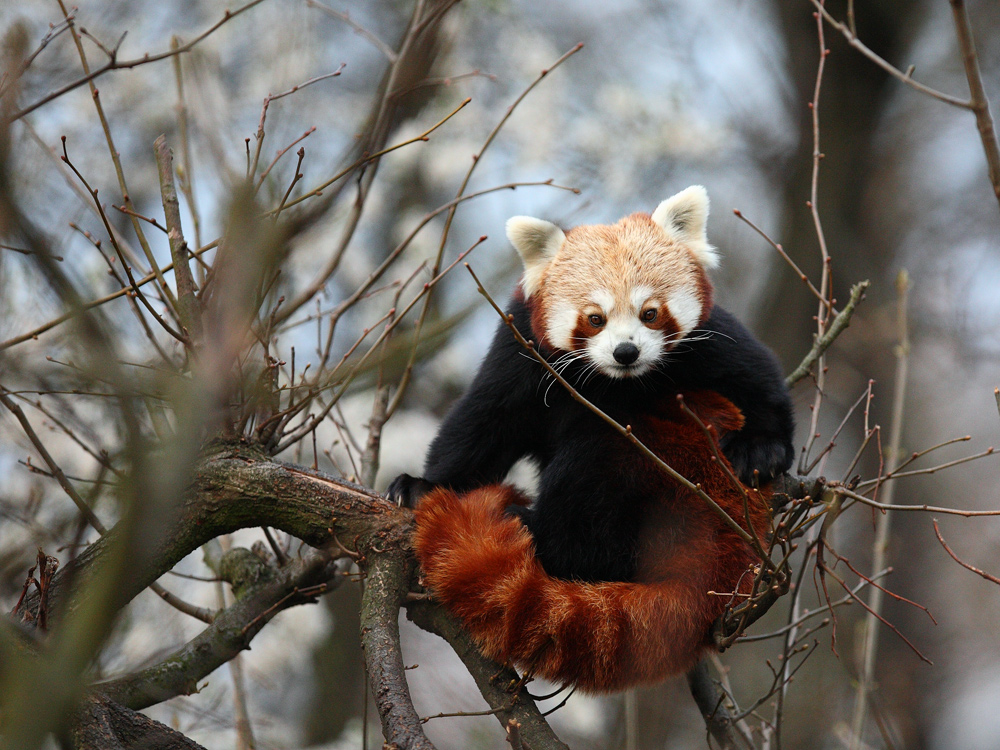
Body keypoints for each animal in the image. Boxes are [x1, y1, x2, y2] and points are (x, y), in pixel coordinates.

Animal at [390, 187, 788, 692]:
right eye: (595, 318)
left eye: (649, 313)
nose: (626, 351)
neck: (613, 382)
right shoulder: (522, 349)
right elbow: (485, 422)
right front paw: (423, 485)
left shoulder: (711, 338)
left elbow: (757, 379)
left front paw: (764, 449)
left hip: (680, 468)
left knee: (594, 468)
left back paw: (534, 526)